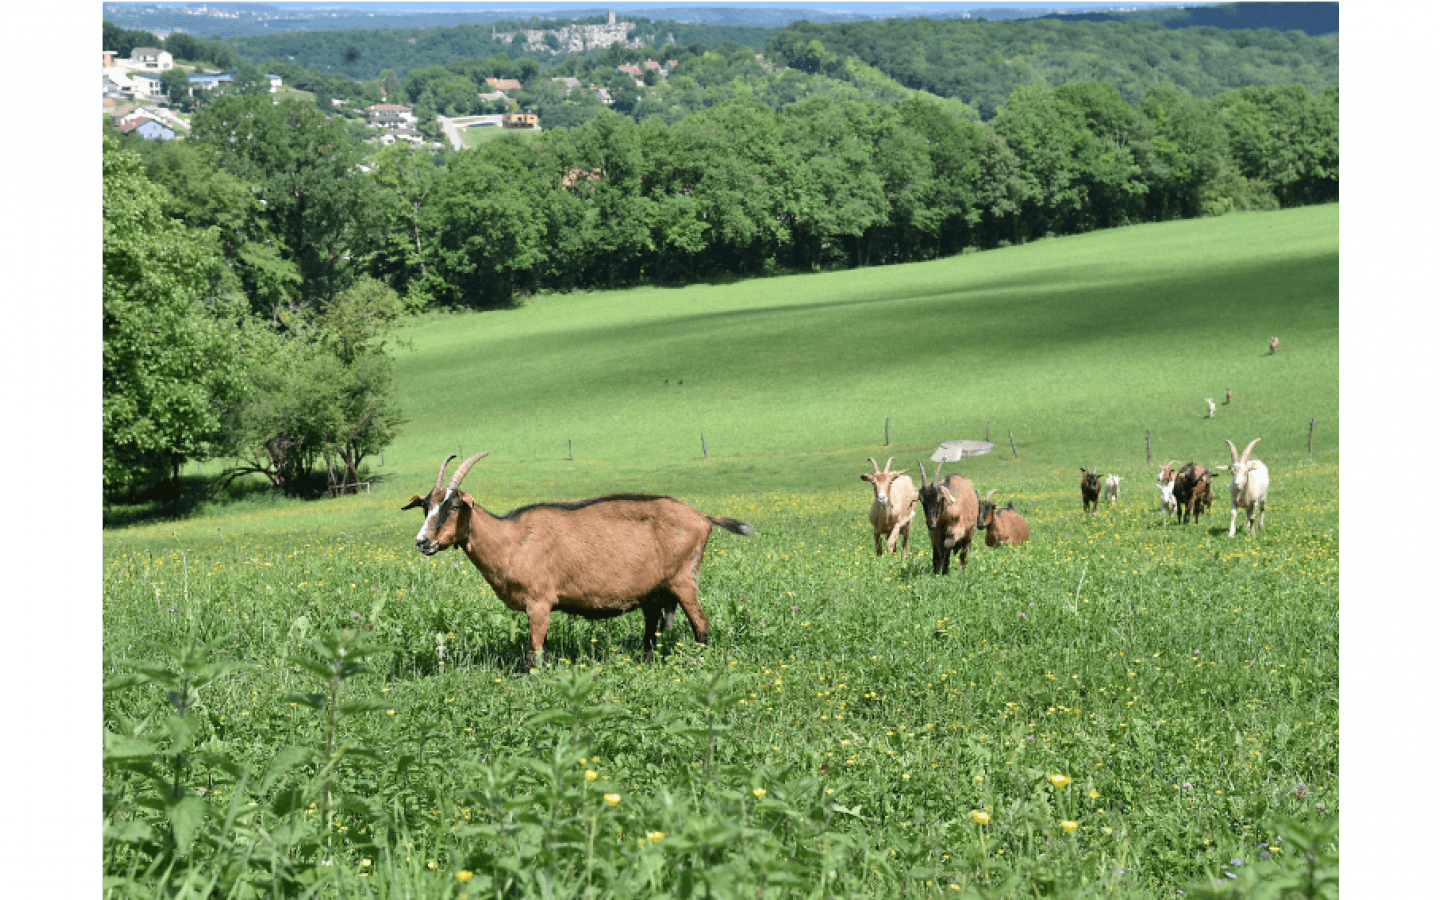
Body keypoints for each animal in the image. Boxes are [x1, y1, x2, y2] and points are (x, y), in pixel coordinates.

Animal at [403, 449, 754, 668]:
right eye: (425, 506)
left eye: (453, 506)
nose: (423, 542)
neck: (513, 540)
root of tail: (703, 517)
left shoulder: (539, 601)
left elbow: (533, 652)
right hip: (654, 589)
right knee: (651, 630)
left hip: (684, 579)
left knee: (701, 624)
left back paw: (699, 664)